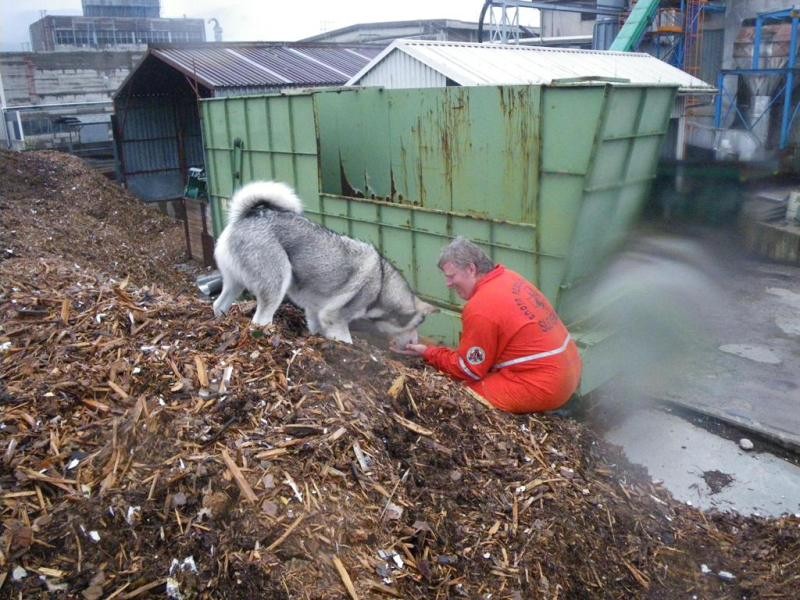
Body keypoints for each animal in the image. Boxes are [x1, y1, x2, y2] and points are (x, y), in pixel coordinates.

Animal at [212, 180, 438, 344]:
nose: (415, 343)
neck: (382, 285)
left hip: (235, 284)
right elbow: (347, 341)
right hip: (276, 283)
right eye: (417, 324)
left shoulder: (315, 312)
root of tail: (249, 214)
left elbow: (316, 328)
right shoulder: (334, 317)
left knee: (218, 304)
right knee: (259, 320)